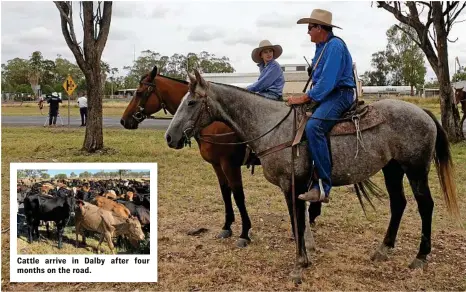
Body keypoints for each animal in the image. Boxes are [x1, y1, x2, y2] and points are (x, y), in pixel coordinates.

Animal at [122, 66, 322, 246]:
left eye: (139, 92)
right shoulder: (217, 165)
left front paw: (244, 233)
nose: (124, 121)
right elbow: (225, 193)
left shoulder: (230, 165)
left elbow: (238, 196)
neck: (214, 123)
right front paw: (227, 226)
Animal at [163, 69, 458, 284]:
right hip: (393, 169)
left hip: (416, 169)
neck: (272, 126)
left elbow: (296, 221)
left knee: (425, 206)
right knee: (398, 204)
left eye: (191, 102)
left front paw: (298, 264)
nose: (170, 137)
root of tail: (424, 113)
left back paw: (420, 256)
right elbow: (298, 220)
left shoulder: (290, 184)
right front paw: (303, 258)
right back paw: (383, 249)